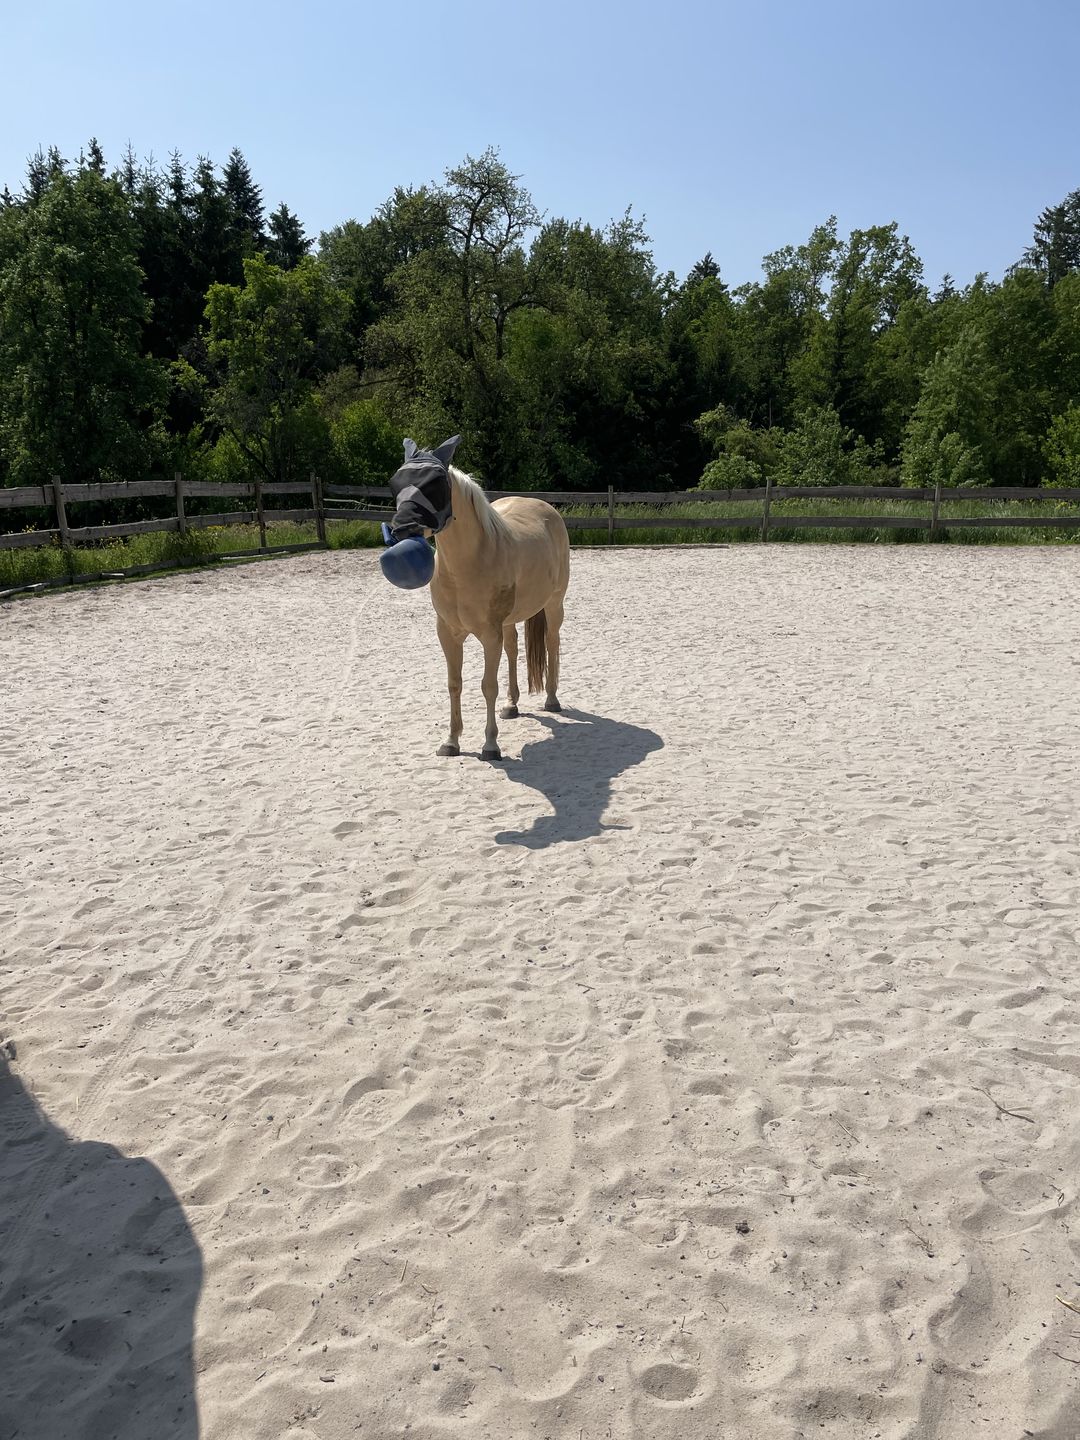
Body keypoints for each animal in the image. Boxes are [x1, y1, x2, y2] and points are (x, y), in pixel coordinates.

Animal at [383, 438, 570, 761]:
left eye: (436, 483)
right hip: (509, 622)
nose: (402, 528)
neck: (466, 566)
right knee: (513, 649)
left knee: (551, 643)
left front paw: (491, 745)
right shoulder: (448, 633)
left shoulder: (489, 635)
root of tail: (544, 508)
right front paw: (451, 742)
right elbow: (454, 684)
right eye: (396, 483)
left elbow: (488, 686)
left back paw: (551, 700)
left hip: (553, 605)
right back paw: (512, 705)